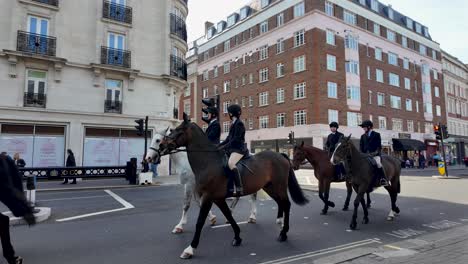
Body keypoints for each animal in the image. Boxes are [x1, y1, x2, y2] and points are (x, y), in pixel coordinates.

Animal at [159, 113, 308, 258]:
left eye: (178, 131)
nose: (161, 145)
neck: (208, 162)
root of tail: (281, 155)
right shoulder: (217, 198)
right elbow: (229, 216)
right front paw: (237, 237)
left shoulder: (208, 197)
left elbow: (200, 221)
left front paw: (190, 249)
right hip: (269, 187)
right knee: (280, 202)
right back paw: (279, 223)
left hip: (280, 186)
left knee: (286, 204)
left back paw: (283, 233)